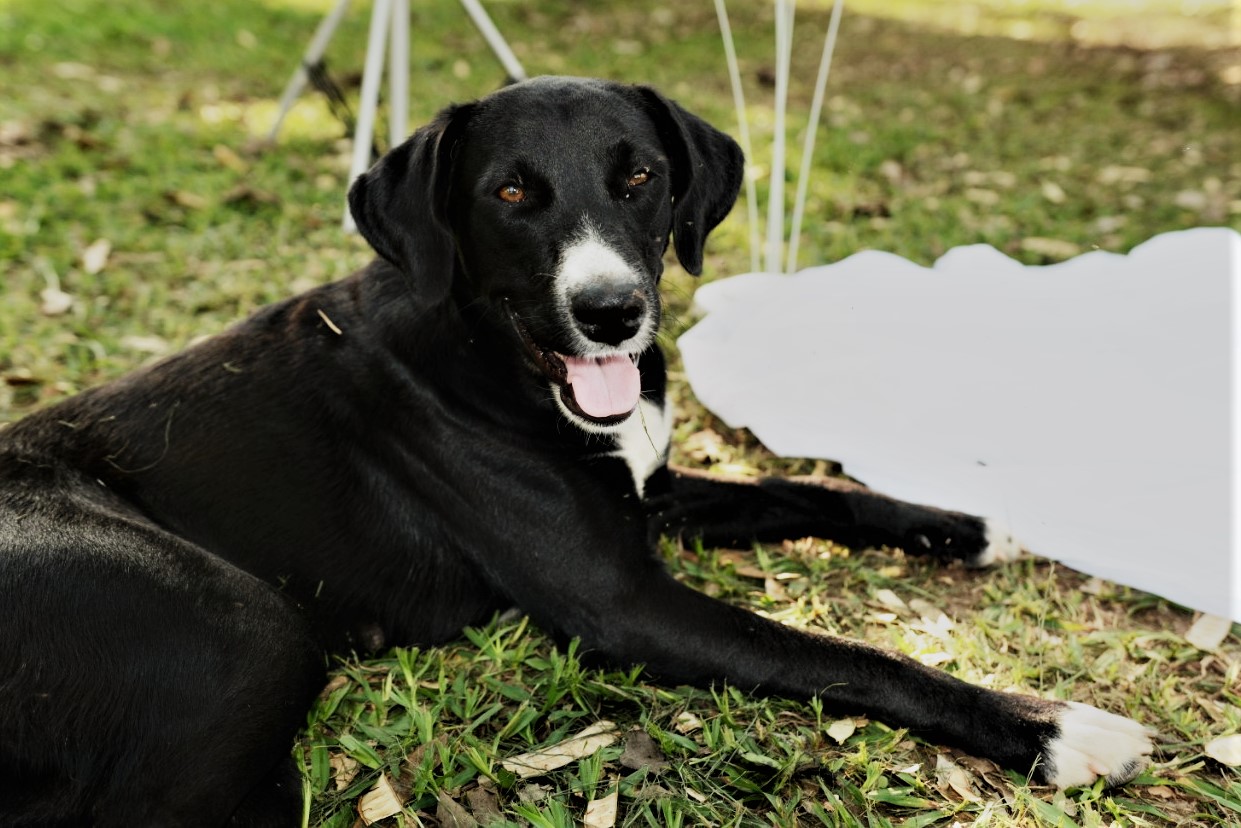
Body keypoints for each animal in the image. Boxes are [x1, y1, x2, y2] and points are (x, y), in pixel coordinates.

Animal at [0, 76, 1146, 824]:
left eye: (638, 177)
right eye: (510, 192)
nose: (611, 314)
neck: (494, 359)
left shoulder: (652, 489)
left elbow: (808, 490)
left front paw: (967, 523)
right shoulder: (623, 603)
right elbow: (841, 654)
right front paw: (1051, 727)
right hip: (247, 624)